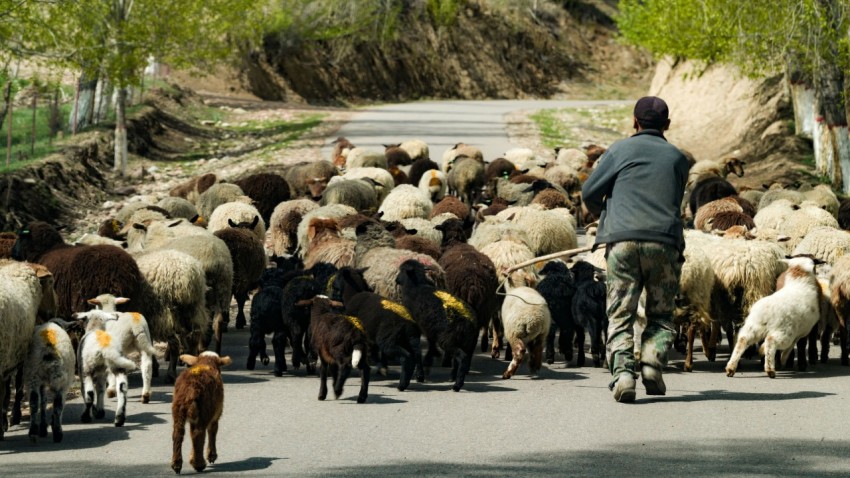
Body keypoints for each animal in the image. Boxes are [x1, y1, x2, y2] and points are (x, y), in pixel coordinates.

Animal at [396, 260, 477, 391]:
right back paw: (454, 377)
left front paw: (420, 375)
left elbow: (417, 350)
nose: (396, 280)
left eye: (402, 270)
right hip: (467, 341)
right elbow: (430, 343)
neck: (415, 288)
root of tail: (470, 320)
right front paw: (430, 358)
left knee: (462, 358)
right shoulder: (430, 327)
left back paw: (457, 385)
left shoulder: (416, 327)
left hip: (448, 340)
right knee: (461, 359)